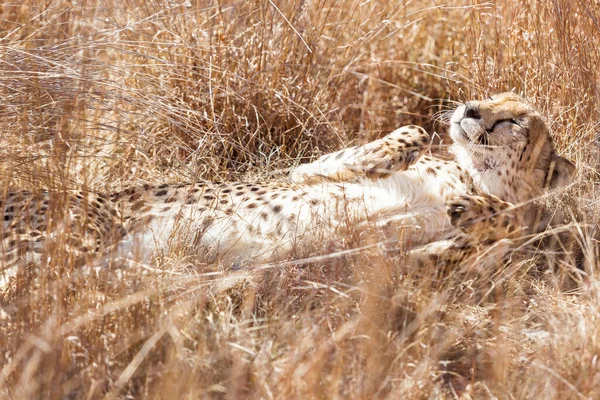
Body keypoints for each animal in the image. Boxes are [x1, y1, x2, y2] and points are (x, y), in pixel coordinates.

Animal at [0, 92, 576, 290]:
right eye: (490, 94)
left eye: (516, 120)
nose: (469, 111)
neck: (473, 172)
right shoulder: (307, 172)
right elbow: (402, 136)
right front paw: (396, 151)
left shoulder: (429, 269)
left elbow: (495, 229)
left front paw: (478, 213)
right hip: (79, 229)